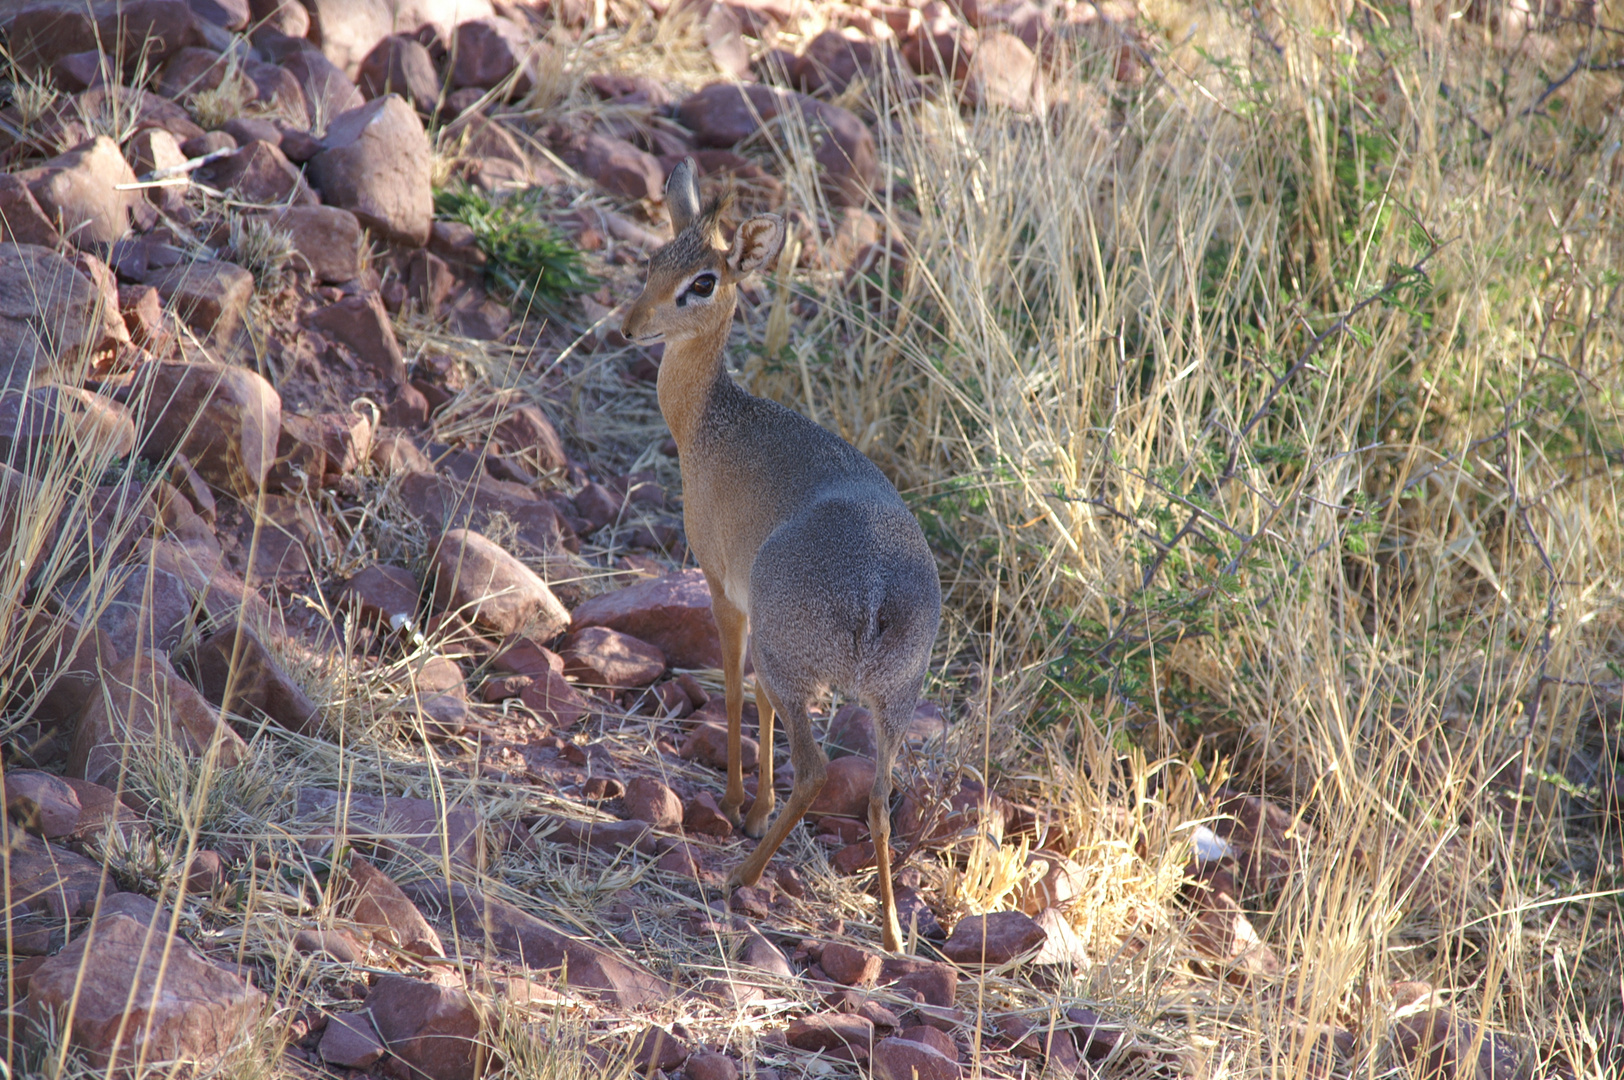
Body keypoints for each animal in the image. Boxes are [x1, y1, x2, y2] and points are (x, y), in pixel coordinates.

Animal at [626, 159, 948, 954]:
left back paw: (739, 878)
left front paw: (740, 799)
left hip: (798, 660)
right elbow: (759, 703)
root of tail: (876, 595)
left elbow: (734, 686)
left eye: (702, 280)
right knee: (878, 797)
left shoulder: (723, 587)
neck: (712, 419)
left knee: (816, 769)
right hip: (895, 699)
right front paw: (751, 806)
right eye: (654, 258)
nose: (631, 326)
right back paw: (891, 932)